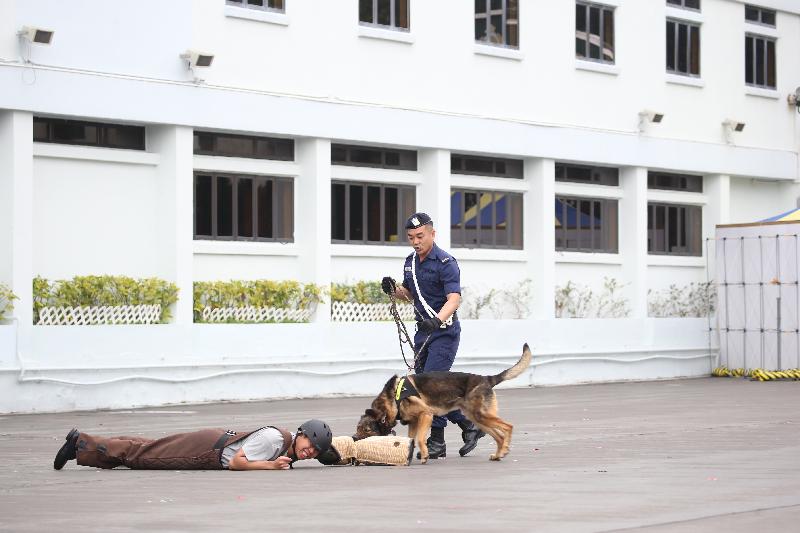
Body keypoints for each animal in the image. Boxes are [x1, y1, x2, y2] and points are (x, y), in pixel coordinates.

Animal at [352, 340, 532, 462]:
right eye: (357, 428)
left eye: (367, 430)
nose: (353, 438)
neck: (393, 399)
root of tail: (487, 379)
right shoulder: (413, 423)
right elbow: (411, 439)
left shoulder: (426, 415)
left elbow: (419, 438)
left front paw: (424, 455)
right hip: (477, 418)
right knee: (498, 436)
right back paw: (498, 454)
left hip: (481, 415)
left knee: (508, 427)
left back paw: (504, 450)